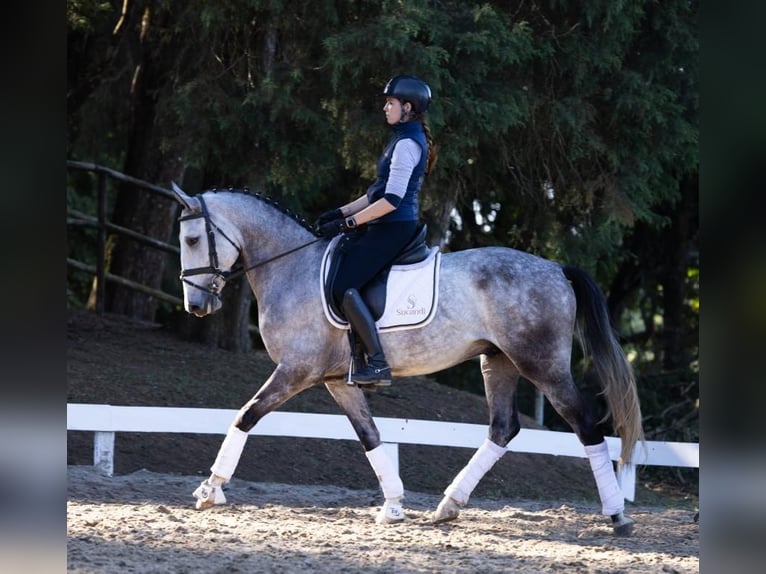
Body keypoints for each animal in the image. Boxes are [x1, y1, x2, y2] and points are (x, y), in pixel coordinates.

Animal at [170, 183, 644, 536]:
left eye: (192, 240)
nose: (196, 306)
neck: (293, 268)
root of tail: (556, 268)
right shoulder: (337, 380)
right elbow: (370, 435)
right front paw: (394, 505)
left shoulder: (296, 370)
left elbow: (246, 415)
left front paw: (210, 489)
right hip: (498, 362)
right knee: (503, 428)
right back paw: (449, 505)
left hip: (542, 365)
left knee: (586, 426)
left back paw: (617, 515)